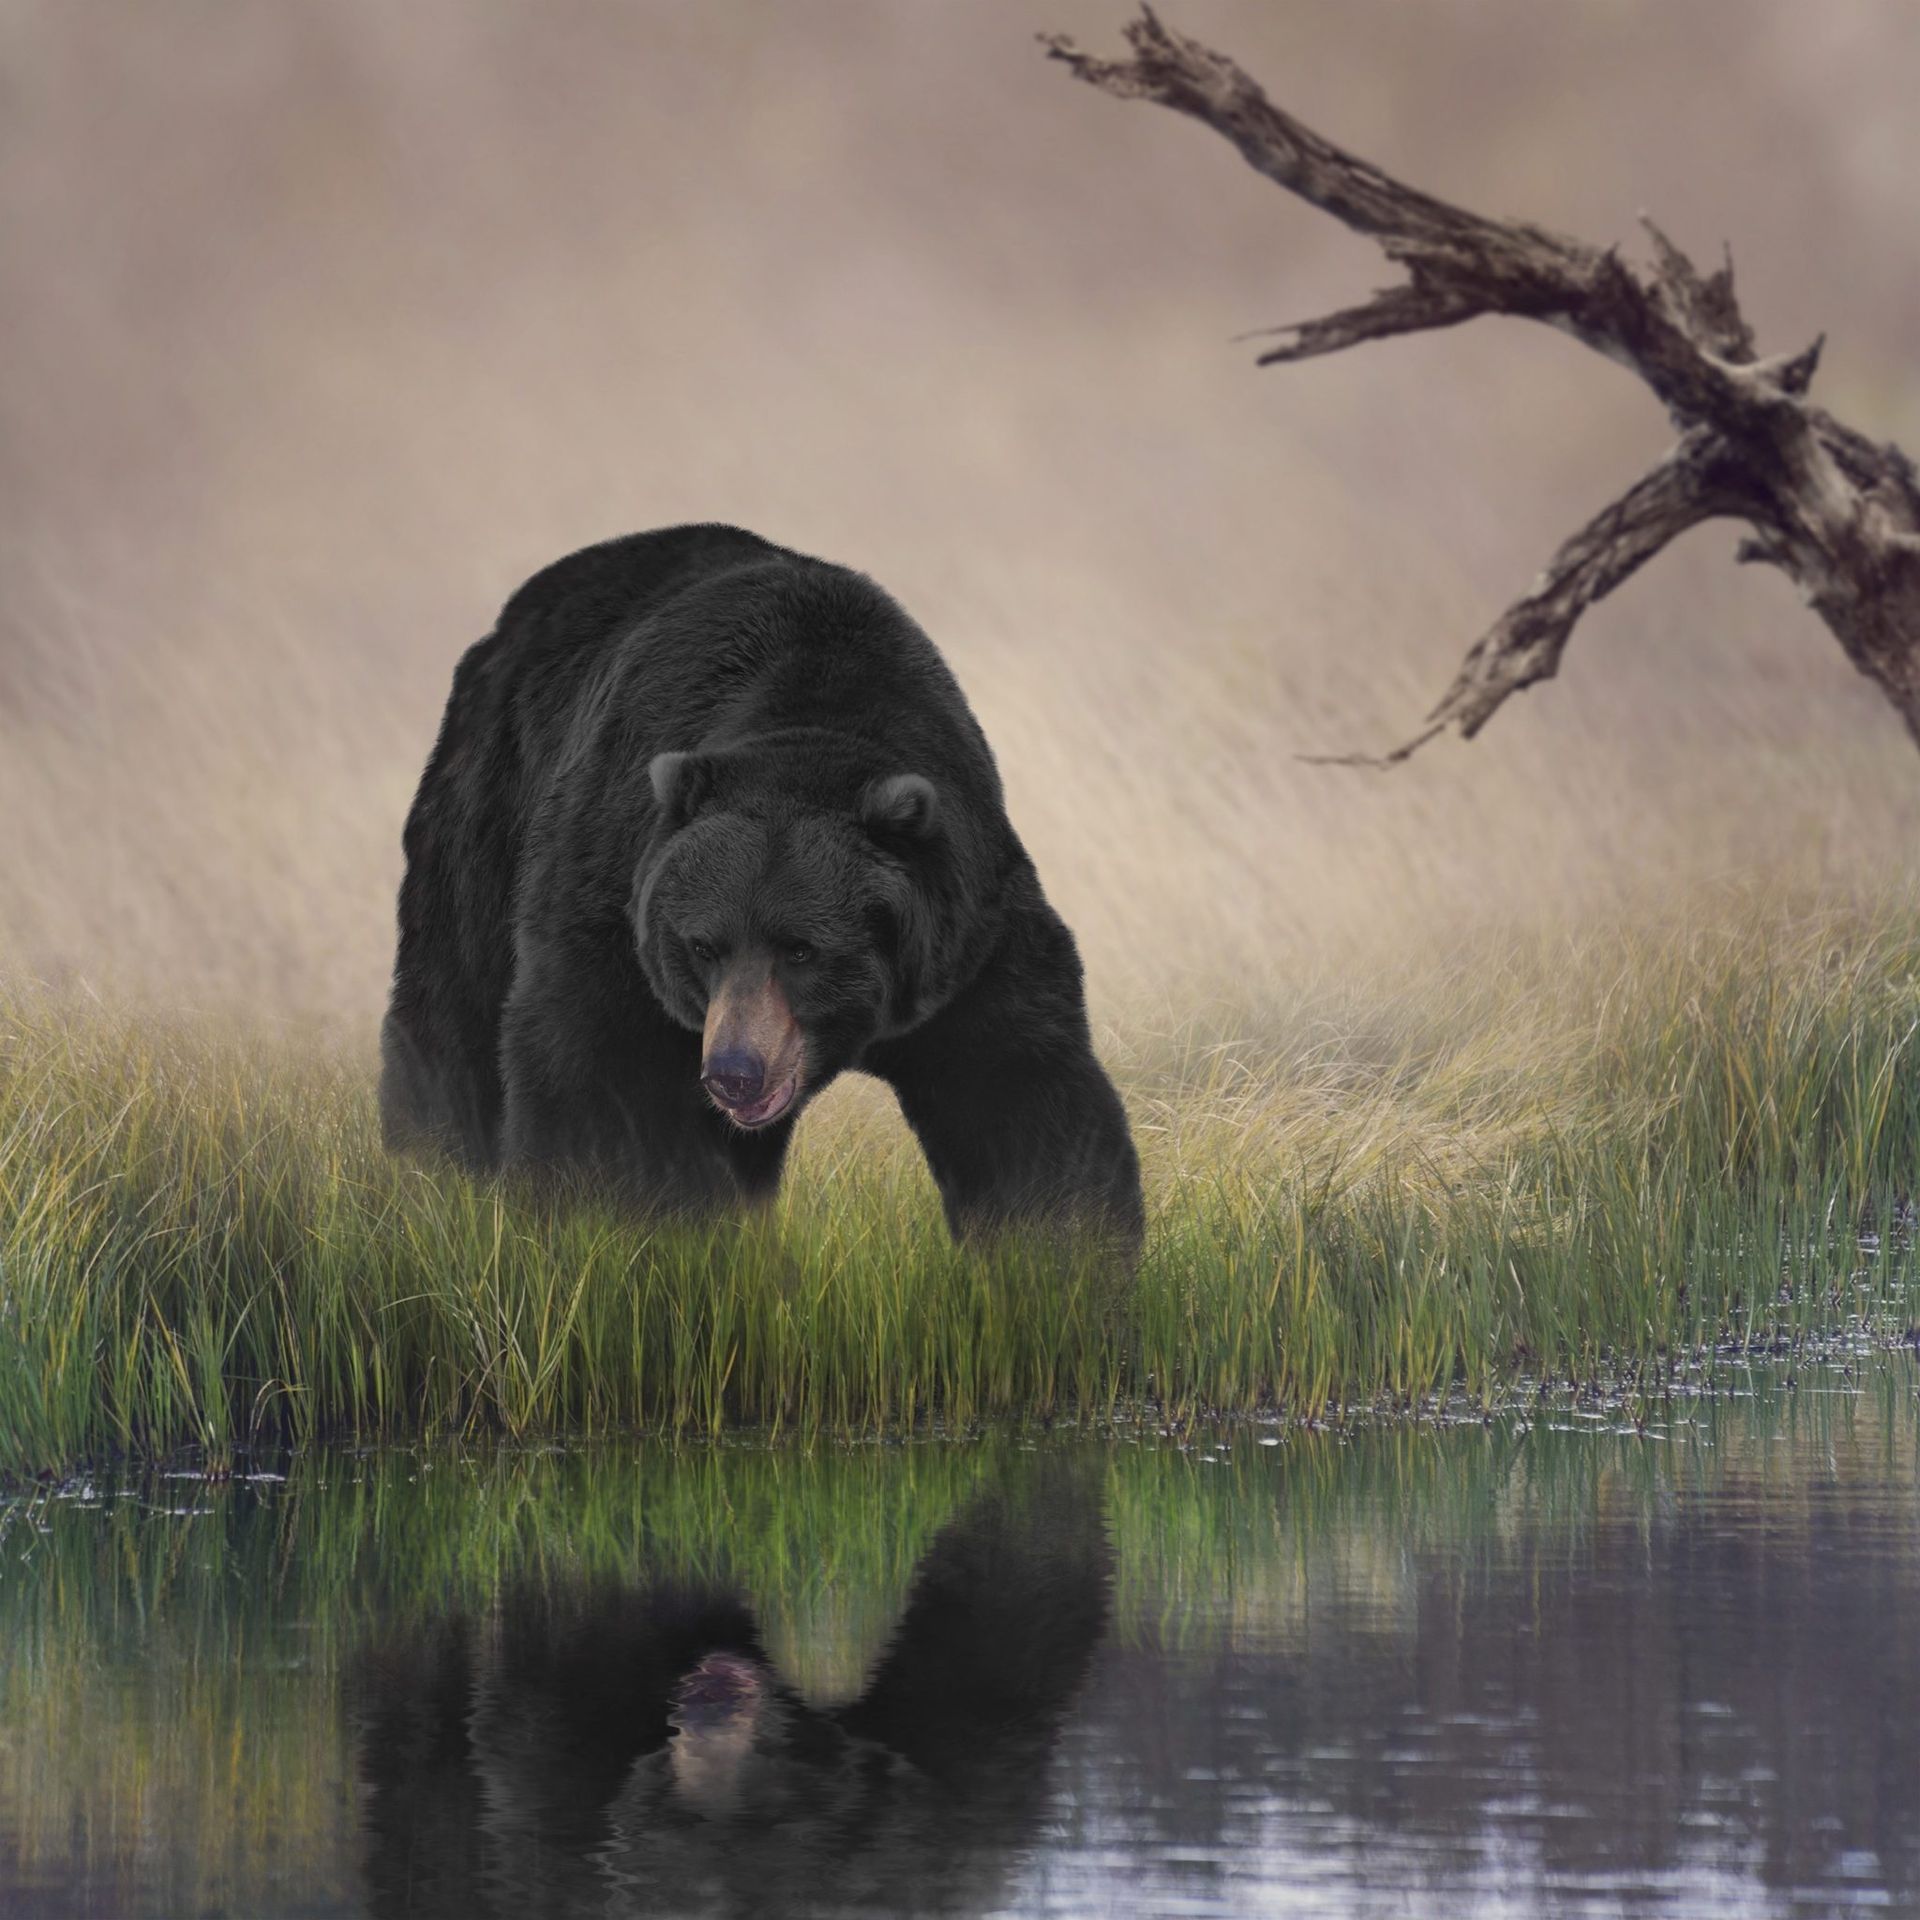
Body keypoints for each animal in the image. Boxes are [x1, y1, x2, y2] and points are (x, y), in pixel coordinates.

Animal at [380, 523, 1143, 1249]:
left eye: (803, 948)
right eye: (703, 945)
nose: (734, 1071)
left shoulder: (967, 942)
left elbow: (1024, 1100)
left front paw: (1053, 1255)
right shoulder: (614, 899)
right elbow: (596, 1076)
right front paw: (604, 1228)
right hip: (489, 805)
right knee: (453, 1008)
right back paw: (428, 1173)